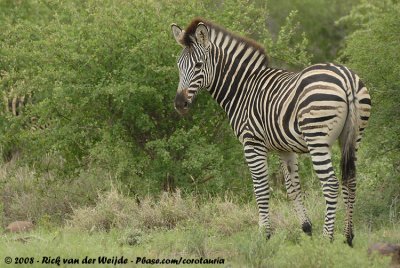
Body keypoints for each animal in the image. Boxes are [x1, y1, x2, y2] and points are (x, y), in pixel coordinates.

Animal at [171, 17, 372, 246]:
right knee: (350, 181)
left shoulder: (252, 143)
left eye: (198, 65)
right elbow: (292, 188)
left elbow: (261, 188)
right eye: (178, 65)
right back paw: (348, 237)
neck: (243, 89)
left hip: (317, 139)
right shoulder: (285, 148)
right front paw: (306, 228)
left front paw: (264, 234)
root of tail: (346, 78)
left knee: (330, 184)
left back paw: (326, 239)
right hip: (353, 137)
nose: (179, 104)